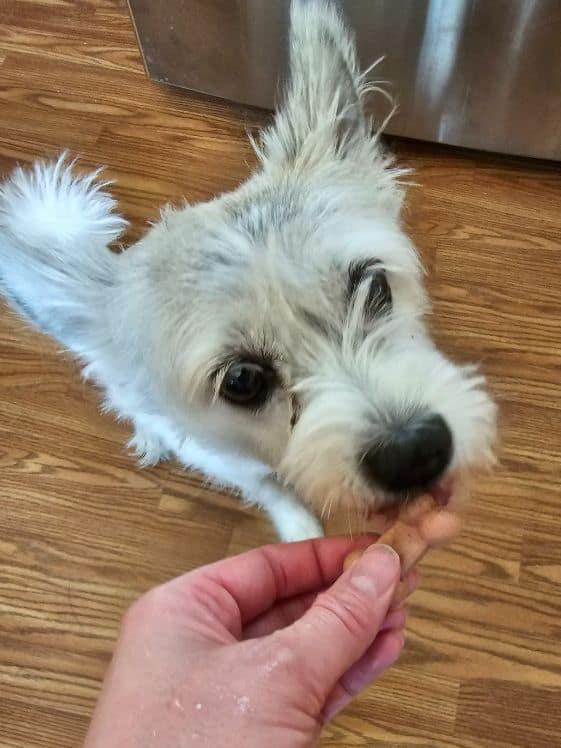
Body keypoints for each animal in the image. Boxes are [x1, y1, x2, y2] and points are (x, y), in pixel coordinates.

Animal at [0, 0, 494, 540]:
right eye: (241, 381)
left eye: (375, 285)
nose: (415, 450)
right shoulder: (222, 459)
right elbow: (268, 488)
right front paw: (300, 528)